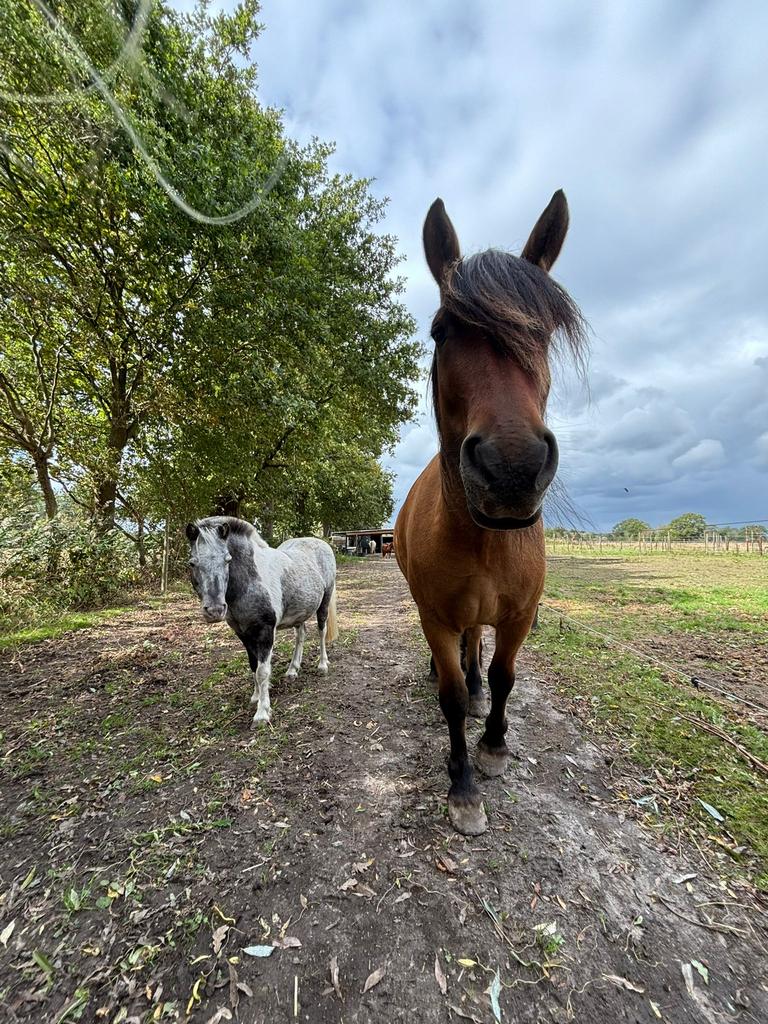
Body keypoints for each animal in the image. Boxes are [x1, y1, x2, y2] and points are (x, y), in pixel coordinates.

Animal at [185, 516, 338, 728]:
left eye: (227, 560)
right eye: (192, 563)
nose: (215, 610)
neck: (249, 583)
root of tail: (322, 543)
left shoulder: (265, 631)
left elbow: (262, 671)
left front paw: (262, 713)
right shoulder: (243, 633)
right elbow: (253, 665)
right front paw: (256, 697)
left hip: (324, 602)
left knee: (321, 632)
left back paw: (322, 665)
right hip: (300, 610)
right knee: (300, 636)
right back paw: (292, 670)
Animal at [395, 191, 587, 835]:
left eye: (543, 333)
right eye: (440, 331)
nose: (511, 469)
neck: (482, 539)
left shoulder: (520, 615)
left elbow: (504, 676)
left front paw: (495, 745)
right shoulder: (435, 616)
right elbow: (450, 698)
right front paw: (462, 785)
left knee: (477, 647)